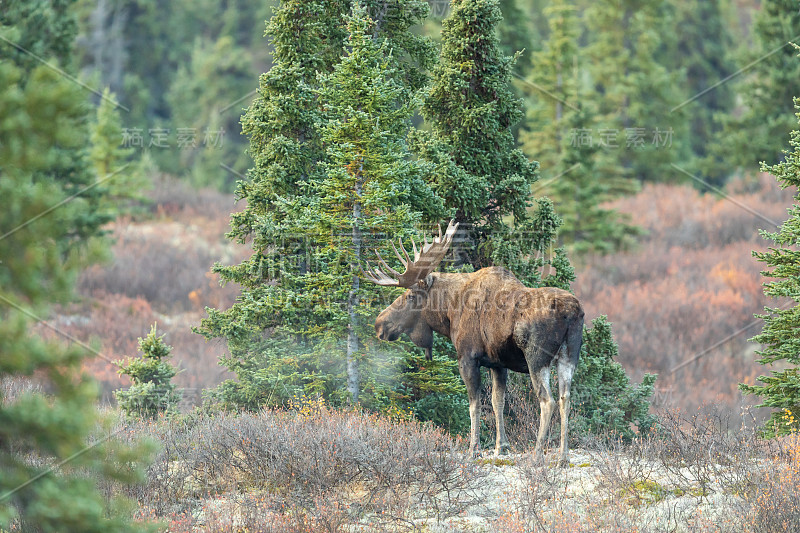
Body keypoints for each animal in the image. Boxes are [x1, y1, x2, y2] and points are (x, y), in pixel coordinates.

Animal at [360, 218, 580, 464]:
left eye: (409, 296)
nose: (380, 324)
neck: (450, 311)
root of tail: (572, 312)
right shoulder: (498, 364)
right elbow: (497, 402)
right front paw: (501, 446)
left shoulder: (467, 357)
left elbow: (474, 405)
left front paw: (474, 448)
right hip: (568, 357)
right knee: (565, 398)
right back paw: (563, 456)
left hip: (537, 358)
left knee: (547, 400)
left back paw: (538, 452)